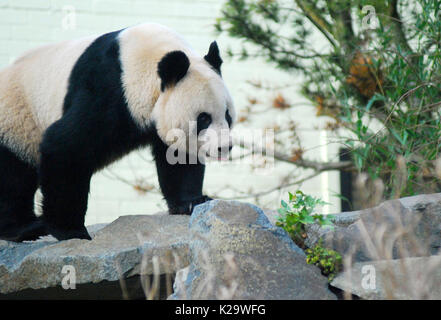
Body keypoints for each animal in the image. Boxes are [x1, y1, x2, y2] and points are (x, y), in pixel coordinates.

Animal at [0, 22, 235, 241]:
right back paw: (25, 228)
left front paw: (191, 202)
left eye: (228, 115)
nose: (225, 147)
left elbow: (177, 158)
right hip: (16, 118)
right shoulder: (107, 91)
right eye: (204, 118)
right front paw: (71, 231)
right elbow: (65, 146)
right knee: (13, 176)